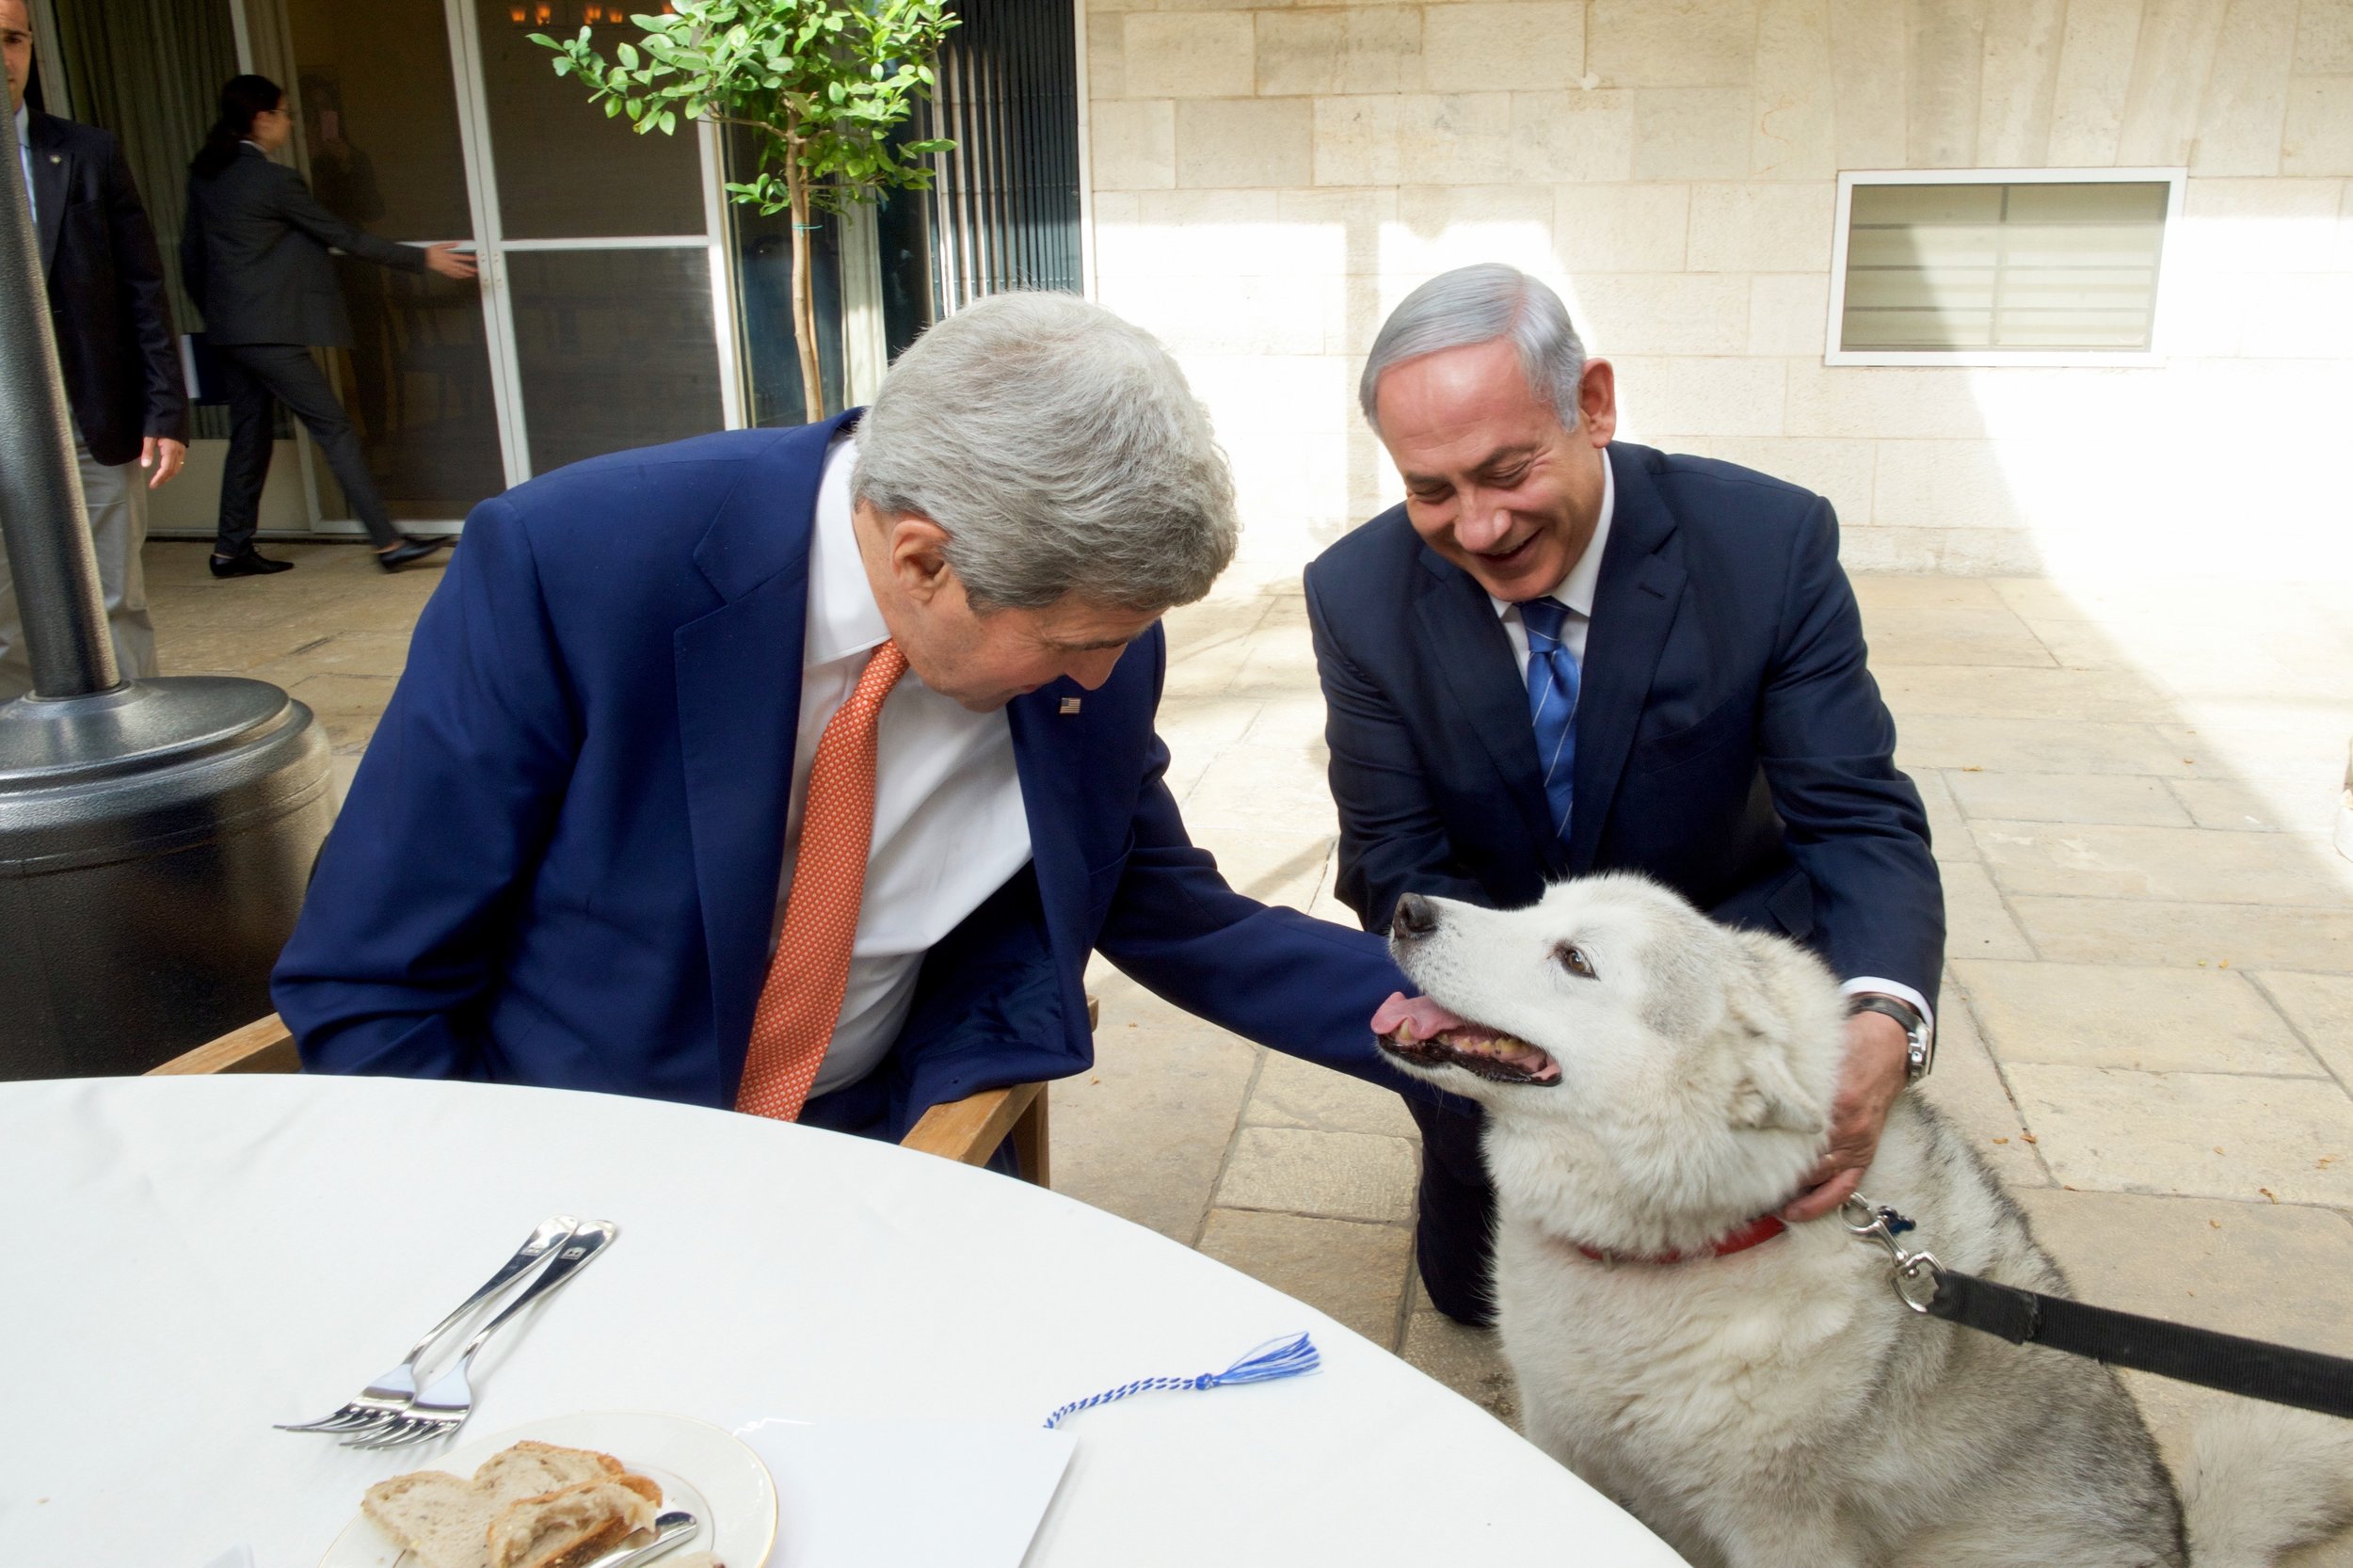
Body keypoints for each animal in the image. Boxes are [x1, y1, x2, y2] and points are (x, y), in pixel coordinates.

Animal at [1374, 871, 2353, 1553]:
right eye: (1535, 904)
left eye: (1575, 960)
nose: (1409, 907)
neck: (1688, 1249)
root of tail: (2185, 1541)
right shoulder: (1561, 1442)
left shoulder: (1781, 1530)